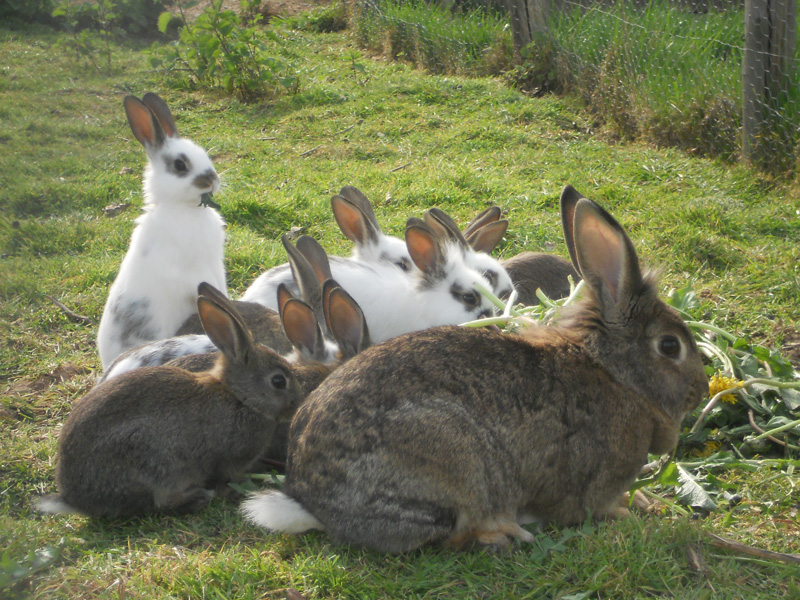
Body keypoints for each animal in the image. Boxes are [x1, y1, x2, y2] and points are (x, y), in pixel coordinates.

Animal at [34, 284, 304, 516]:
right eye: (278, 381)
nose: (298, 403)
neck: (239, 397)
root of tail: (74, 500)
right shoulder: (228, 460)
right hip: (153, 465)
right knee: (158, 504)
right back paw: (197, 497)